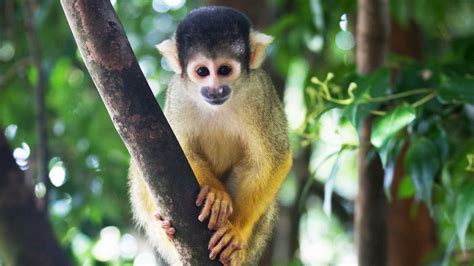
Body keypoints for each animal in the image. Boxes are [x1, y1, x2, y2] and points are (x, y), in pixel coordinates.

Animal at [130, 5, 292, 264]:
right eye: (202, 71)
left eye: (224, 70)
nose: (215, 90)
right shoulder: (178, 96)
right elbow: (178, 153)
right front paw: (216, 196)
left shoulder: (260, 93)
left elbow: (274, 158)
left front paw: (235, 231)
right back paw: (166, 230)